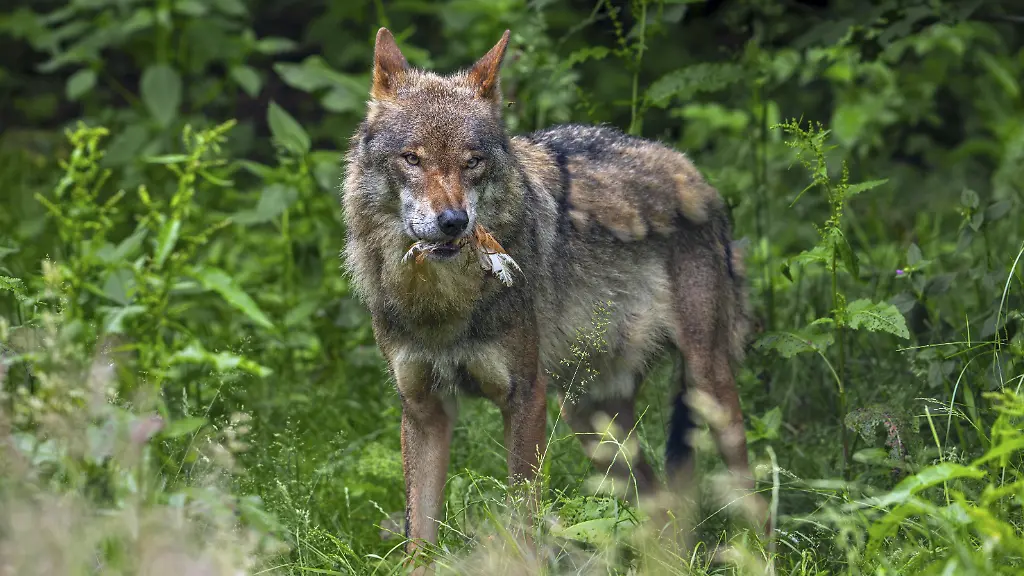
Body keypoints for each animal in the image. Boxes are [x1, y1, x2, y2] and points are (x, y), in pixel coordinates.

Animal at [341, 27, 767, 562]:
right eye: (412, 159)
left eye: (472, 162)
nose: (454, 221)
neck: (443, 304)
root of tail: (696, 177)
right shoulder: (423, 410)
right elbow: (420, 543)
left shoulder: (525, 397)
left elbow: (523, 526)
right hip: (591, 420)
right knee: (661, 505)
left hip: (706, 389)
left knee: (753, 498)